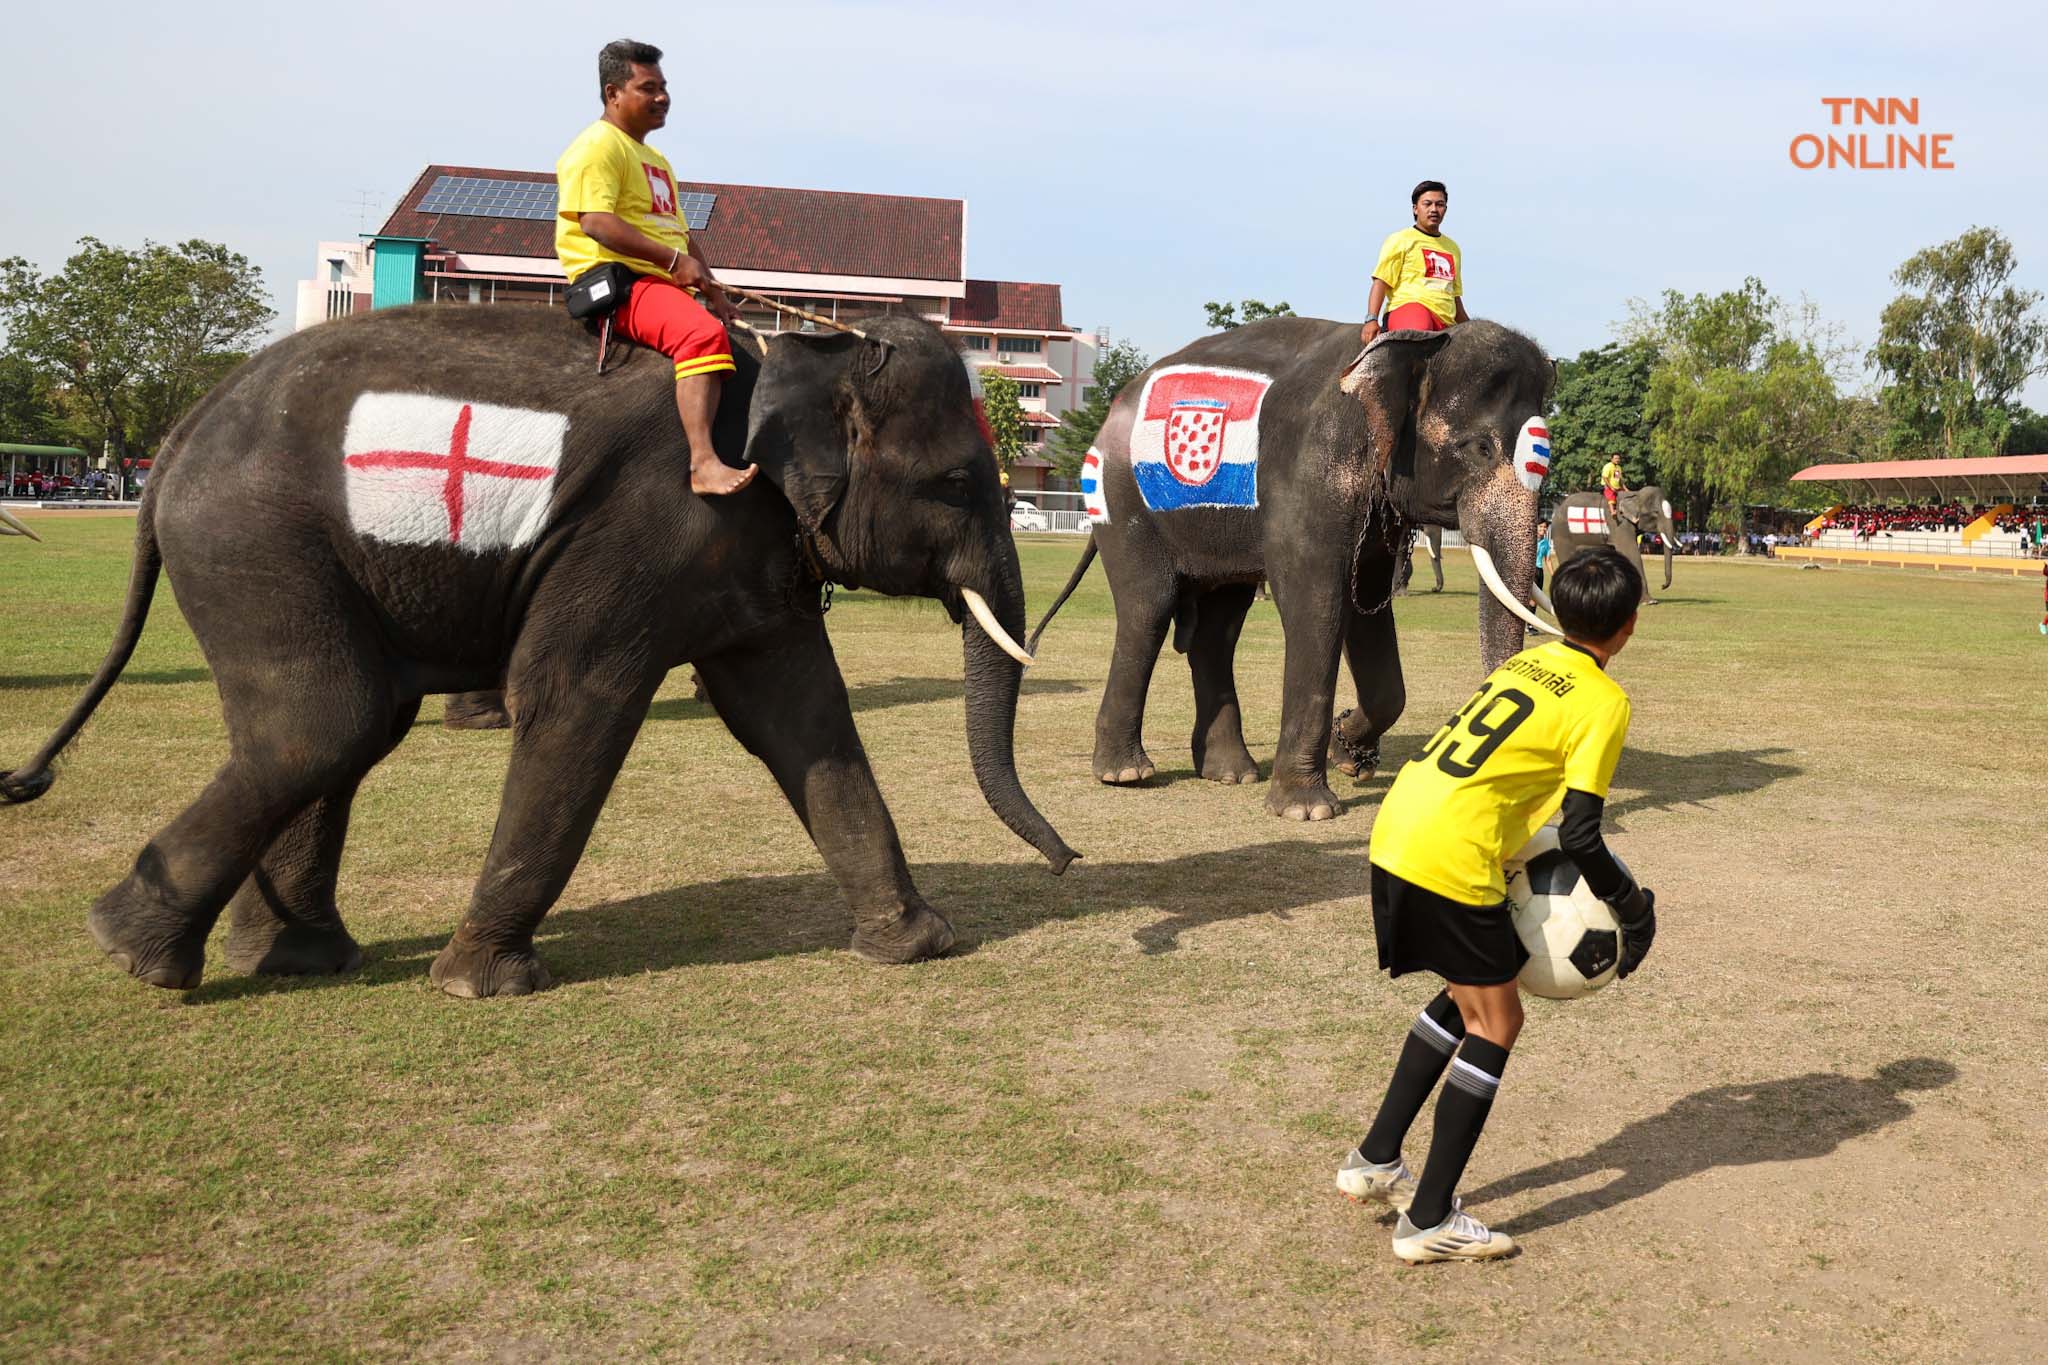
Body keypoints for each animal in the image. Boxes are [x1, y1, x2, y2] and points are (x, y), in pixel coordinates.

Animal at [0, 304, 1081, 998]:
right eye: (954, 483)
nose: (1069, 859)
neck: (794, 352)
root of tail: (176, 440)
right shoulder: (651, 526)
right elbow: (577, 699)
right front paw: (483, 984)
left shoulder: (744, 545)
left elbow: (800, 712)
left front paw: (918, 945)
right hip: (257, 541)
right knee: (326, 721)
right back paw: (136, 954)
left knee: (341, 728)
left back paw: (290, 960)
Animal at [1032, 315, 1556, 818]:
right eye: (1480, 448)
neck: (1417, 342)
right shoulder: (1309, 477)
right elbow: (1318, 605)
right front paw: (1309, 810)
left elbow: (1366, 610)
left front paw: (1350, 756)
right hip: (1121, 502)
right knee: (1149, 611)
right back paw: (1126, 774)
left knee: (1218, 628)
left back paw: (1231, 773)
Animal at [1540, 485, 1671, 601]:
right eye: (1656, 513)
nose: (1662, 586)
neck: (1635, 494)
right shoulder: (1619, 524)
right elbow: (1631, 552)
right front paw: (1650, 601)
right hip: (1562, 534)